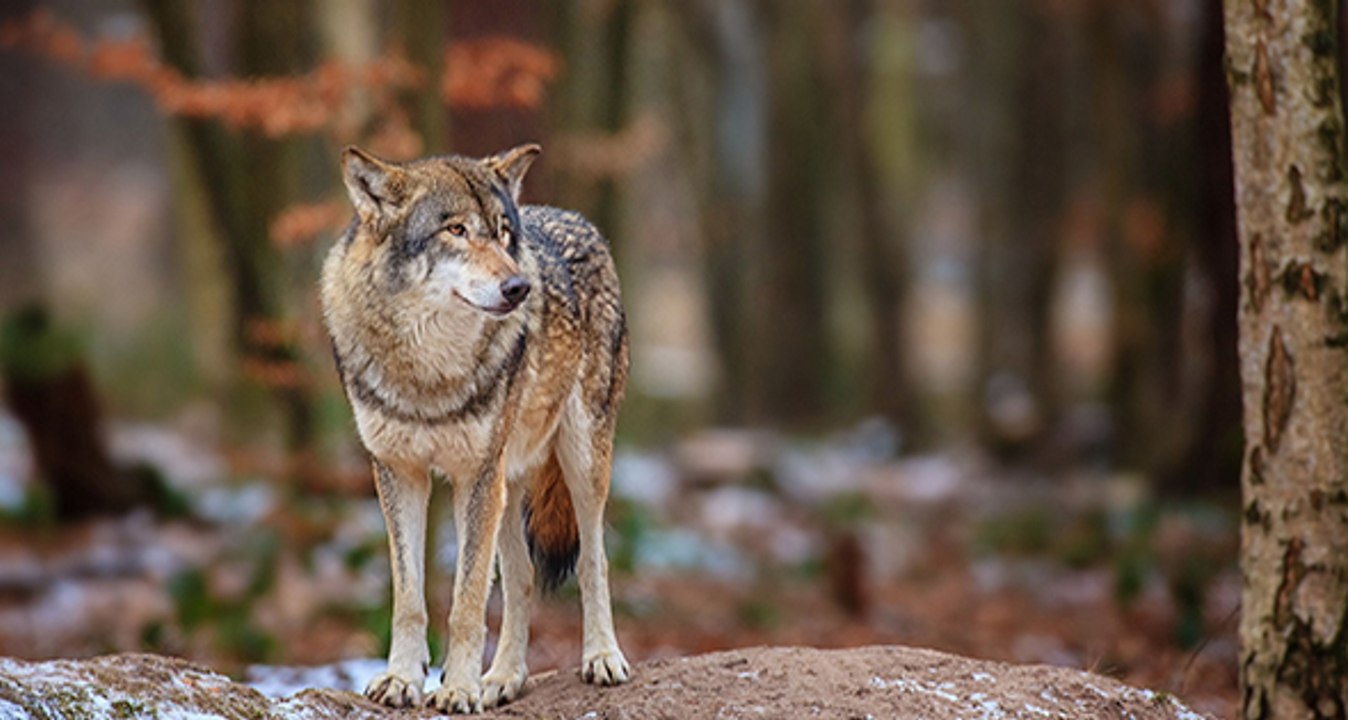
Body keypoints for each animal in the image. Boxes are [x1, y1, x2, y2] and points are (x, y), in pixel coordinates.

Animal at [320, 143, 631, 713]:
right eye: (457, 230)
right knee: (521, 578)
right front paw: (402, 680)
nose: (519, 286)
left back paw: (602, 657)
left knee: (592, 561)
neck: (428, 371)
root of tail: (575, 217)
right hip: (506, 485)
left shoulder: (473, 478)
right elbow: (409, 597)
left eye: (504, 233)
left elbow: (465, 604)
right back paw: (504, 678)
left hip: (578, 462)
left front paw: (458, 689)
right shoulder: (399, 475)